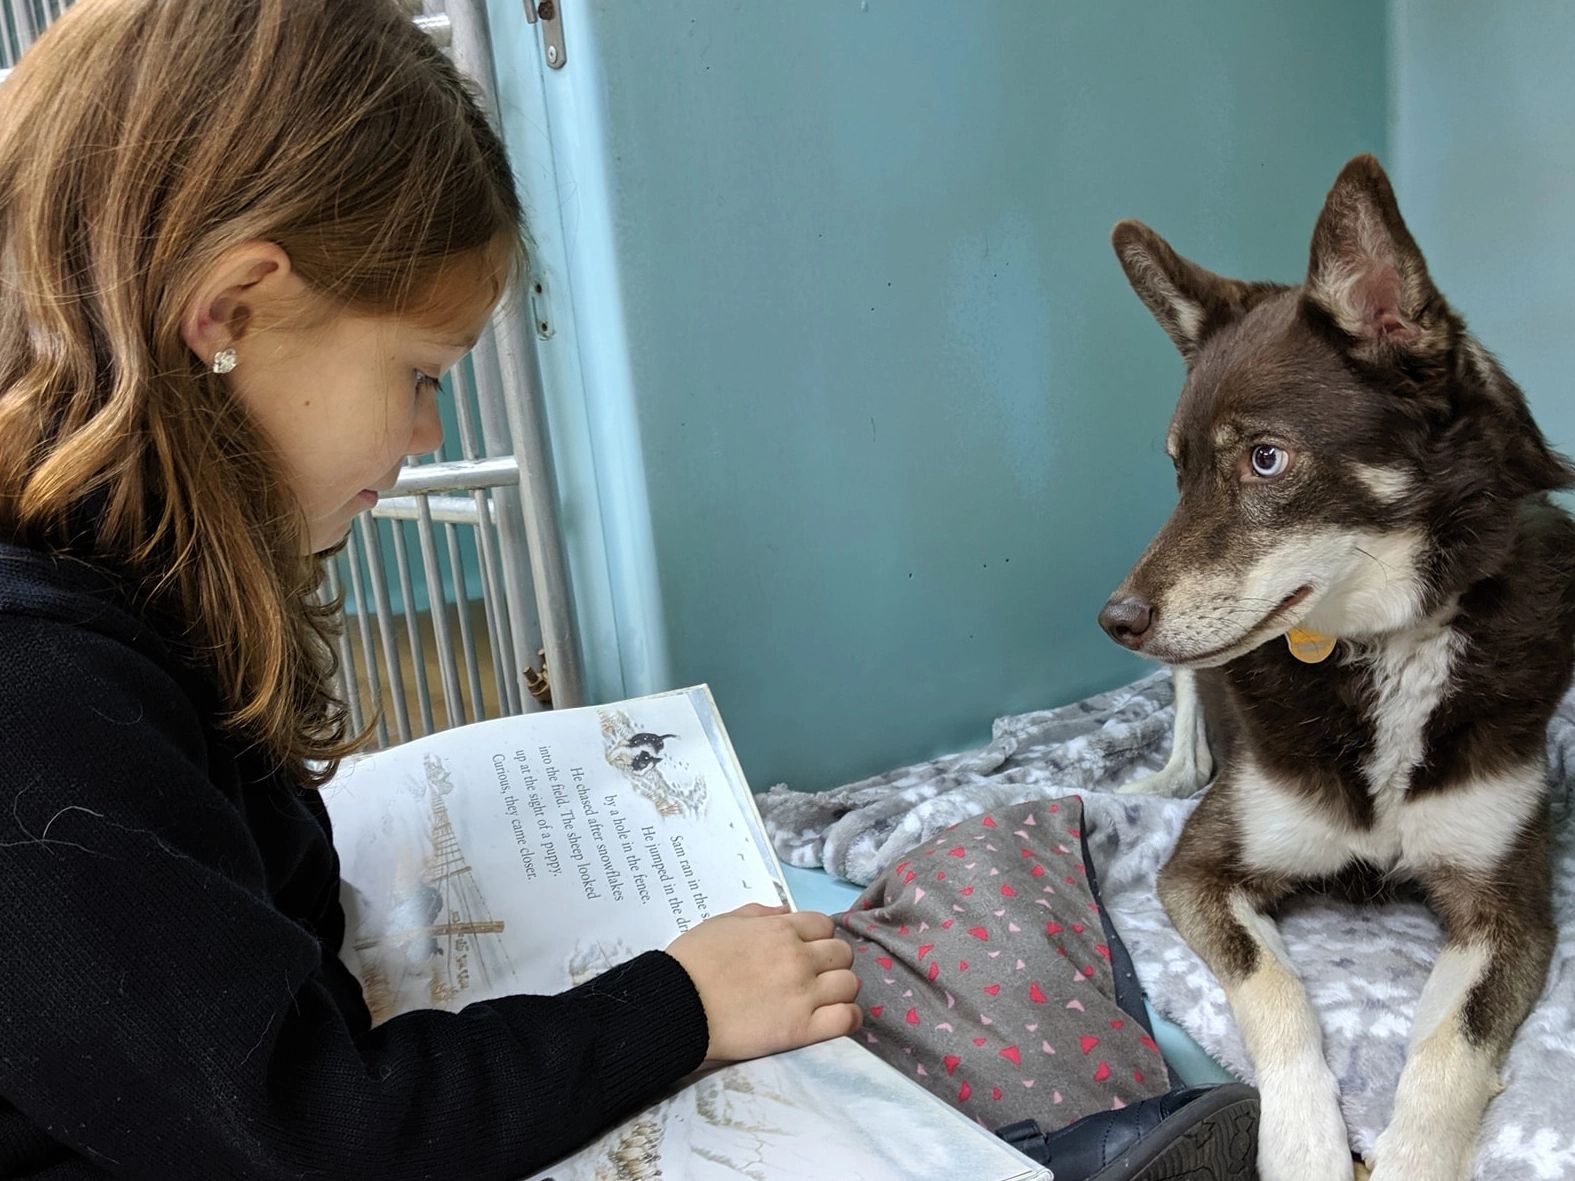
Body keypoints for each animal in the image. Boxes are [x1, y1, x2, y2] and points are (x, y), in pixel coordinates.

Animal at [1102, 152, 1575, 1177]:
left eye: (1265, 460)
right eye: (1178, 472)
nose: (1112, 619)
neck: (1389, 642)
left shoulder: (1507, 908)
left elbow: (1447, 1052)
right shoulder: (1200, 871)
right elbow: (1277, 994)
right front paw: (1306, 1145)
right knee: (1186, 713)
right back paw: (1160, 771)